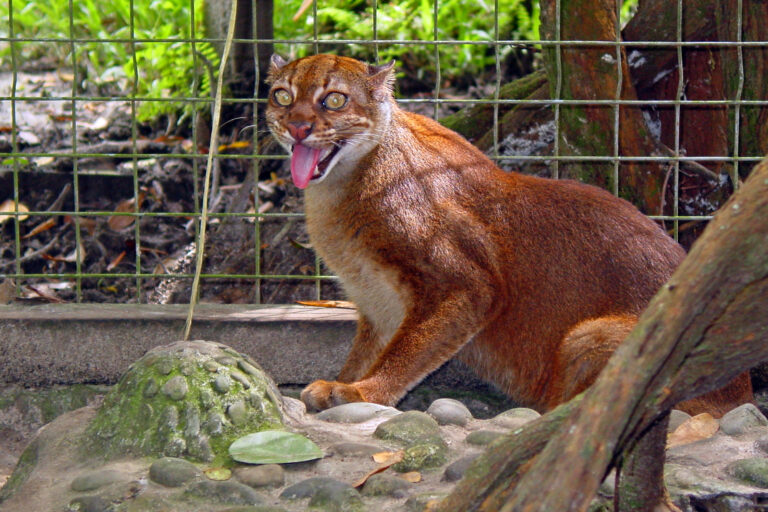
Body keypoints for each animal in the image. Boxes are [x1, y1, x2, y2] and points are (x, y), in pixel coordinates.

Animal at [264, 54, 752, 418]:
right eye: (282, 95)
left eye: (334, 100)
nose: (298, 126)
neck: (338, 191)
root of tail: (744, 389)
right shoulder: (377, 300)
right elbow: (369, 349)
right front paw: (345, 380)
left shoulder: (465, 284)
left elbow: (408, 350)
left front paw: (363, 393)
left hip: (590, 335)